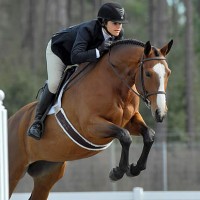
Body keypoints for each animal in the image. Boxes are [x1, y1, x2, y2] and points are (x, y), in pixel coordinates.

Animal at [8, 38, 172, 199]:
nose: (160, 112)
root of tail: (10, 121)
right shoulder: (91, 126)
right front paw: (117, 172)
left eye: (168, 73)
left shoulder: (129, 121)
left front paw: (135, 169)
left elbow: (149, 135)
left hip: (47, 174)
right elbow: (125, 136)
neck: (114, 84)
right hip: (13, 171)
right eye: (148, 74)